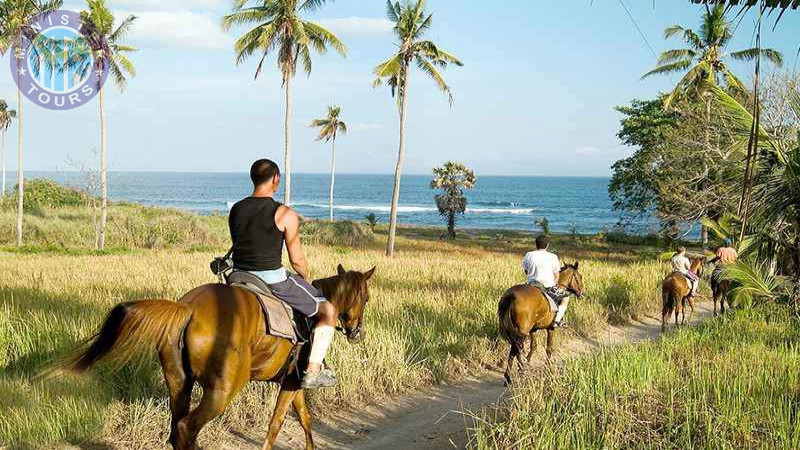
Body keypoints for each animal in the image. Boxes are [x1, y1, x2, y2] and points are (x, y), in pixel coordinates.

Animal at [56, 264, 376, 450]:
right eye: (367, 298)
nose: (357, 332)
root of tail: (189, 308)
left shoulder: (291, 382)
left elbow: (305, 419)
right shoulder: (294, 382)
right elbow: (277, 424)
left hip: (179, 384)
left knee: (177, 429)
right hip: (222, 390)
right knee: (186, 428)